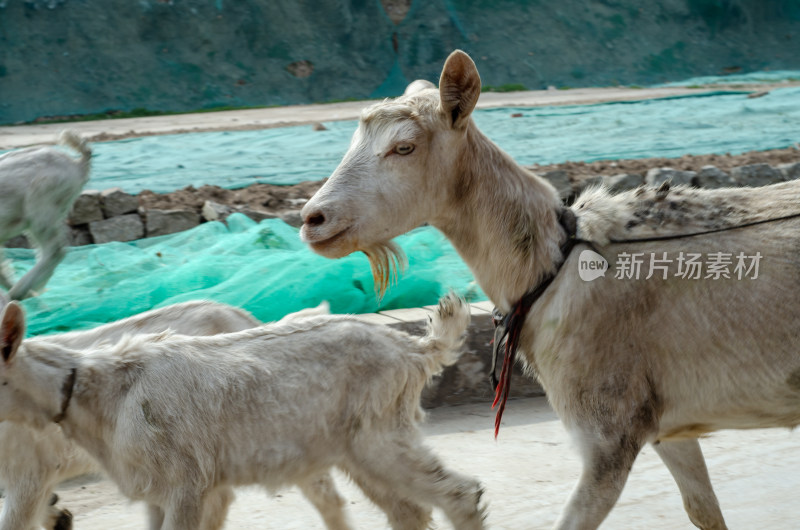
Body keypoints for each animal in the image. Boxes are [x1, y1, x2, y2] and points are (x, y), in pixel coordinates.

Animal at [0, 292, 484, 528]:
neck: (98, 390)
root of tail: (414, 347)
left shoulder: (184, 484)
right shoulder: (158, 488)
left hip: (380, 437)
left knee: (459, 495)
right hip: (351, 448)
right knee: (408, 512)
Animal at [298, 47, 800, 524]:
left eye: (404, 147)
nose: (312, 218)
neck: (553, 264)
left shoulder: (609, 426)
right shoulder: (663, 422)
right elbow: (704, 510)